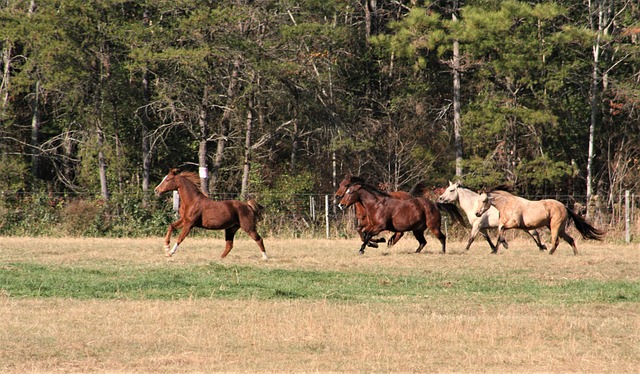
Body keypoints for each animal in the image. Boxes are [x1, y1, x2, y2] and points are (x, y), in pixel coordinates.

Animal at [336, 180, 464, 254]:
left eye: (350, 192)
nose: (341, 205)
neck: (376, 205)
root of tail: (435, 204)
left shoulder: (379, 227)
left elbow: (367, 235)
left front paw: (363, 249)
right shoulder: (371, 225)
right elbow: (363, 233)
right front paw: (376, 243)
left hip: (433, 227)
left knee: (442, 237)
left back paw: (442, 252)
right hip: (417, 230)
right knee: (423, 242)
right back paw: (415, 252)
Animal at [476, 186, 604, 256]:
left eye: (484, 201)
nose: (477, 213)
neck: (507, 204)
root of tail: (564, 206)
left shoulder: (514, 223)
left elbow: (501, 229)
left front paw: (505, 245)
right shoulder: (511, 225)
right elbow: (499, 232)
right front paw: (496, 249)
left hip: (555, 227)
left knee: (556, 241)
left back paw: (550, 253)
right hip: (560, 229)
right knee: (570, 239)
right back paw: (575, 254)